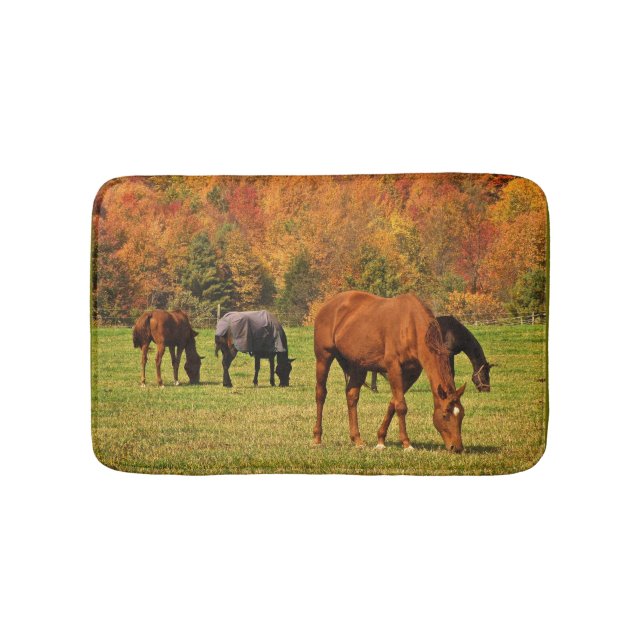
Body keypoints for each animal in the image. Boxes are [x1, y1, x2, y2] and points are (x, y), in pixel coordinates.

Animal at [313, 291, 466, 452]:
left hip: (358, 366)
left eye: (461, 415)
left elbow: (393, 403)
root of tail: (327, 306)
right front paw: (406, 443)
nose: (457, 447)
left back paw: (357, 440)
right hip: (323, 357)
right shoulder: (393, 367)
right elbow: (401, 406)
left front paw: (381, 440)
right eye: (445, 415)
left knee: (352, 396)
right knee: (321, 394)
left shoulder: (412, 373)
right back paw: (317, 438)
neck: (410, 325)